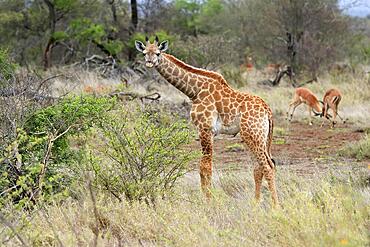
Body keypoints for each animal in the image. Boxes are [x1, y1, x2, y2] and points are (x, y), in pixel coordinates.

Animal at [135, 36, 278, 206]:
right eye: (144, 53)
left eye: (157, 53)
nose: (149, 62)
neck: (194, 91)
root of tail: (268, 111)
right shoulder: (210, 132)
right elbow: (203, 166)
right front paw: (207, 198)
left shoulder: (205, 128)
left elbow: (205, 166)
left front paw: (208, 200)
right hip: (255, 137)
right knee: (259, 167)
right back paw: (255, 204)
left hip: (254, 135)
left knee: (267, 166)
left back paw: (275, 206)